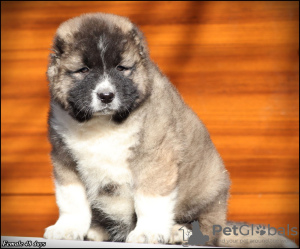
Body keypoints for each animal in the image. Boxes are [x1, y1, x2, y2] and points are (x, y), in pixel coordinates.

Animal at [43, 12, 296, 247]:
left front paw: (148, 232)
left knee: (204, 228)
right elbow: (72, 199)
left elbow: (149, 199)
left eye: (122, 68)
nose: (106, 96)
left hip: (210, 191)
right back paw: (98, 230)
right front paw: (67, 229)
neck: (104, 124)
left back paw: (177, 232)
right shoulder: (65, 159)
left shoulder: (155, 158)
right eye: (83, 70)